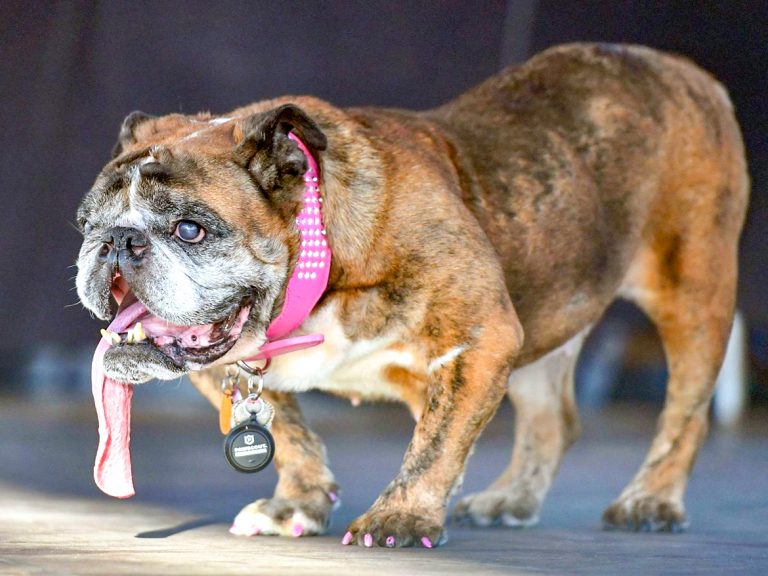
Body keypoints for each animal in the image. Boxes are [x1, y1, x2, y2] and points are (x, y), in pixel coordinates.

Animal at [75, 42, 748, 548]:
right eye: (87, 224)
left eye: (190, 228)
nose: (116, 241)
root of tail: (682, 69)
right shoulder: (226, 369)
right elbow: (285, 430)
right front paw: (296, 504)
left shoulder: (481, 338)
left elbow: (435, 444)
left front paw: (401, 516)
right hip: (550, 314)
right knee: (552, 420)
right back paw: (512, 497)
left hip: (692, 296)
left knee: (684, 413)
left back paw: (650, 500)